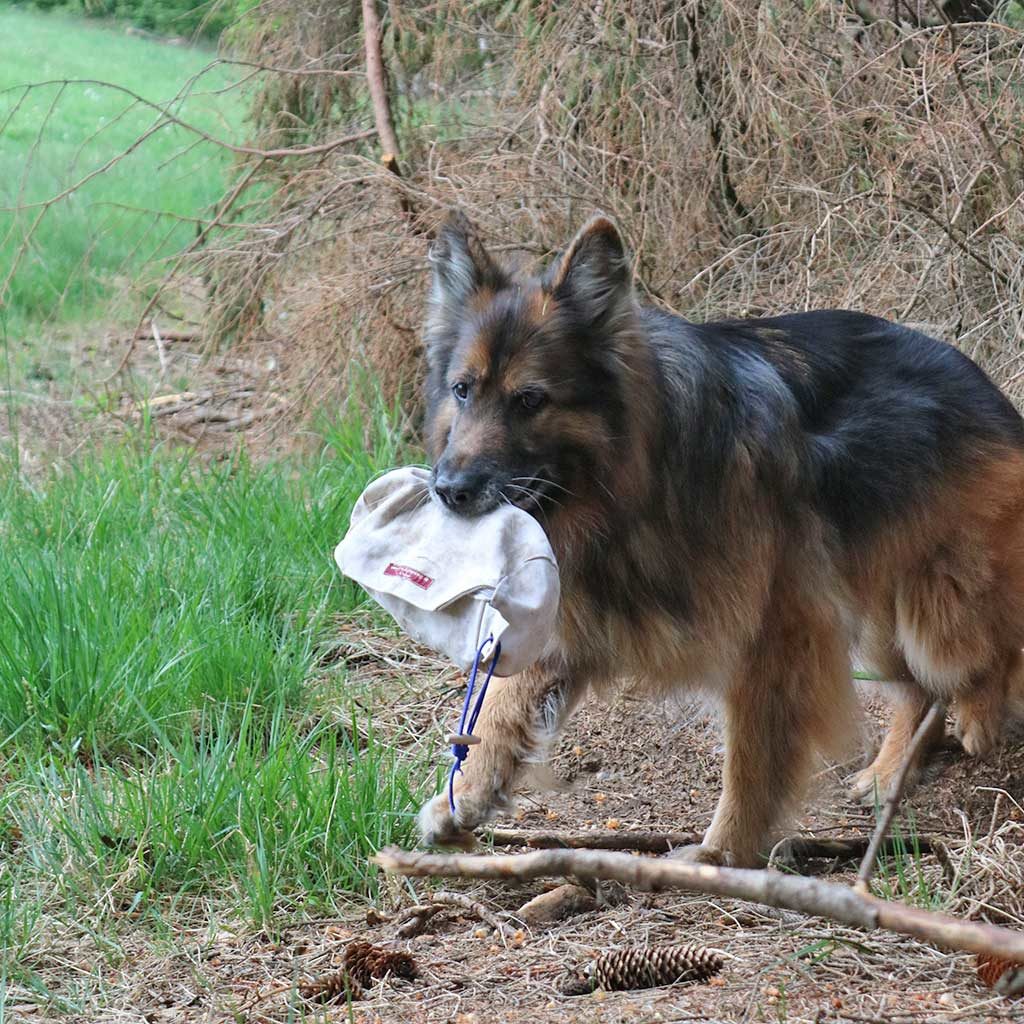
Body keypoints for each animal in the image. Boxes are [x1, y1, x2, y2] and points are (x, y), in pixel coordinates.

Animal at [415, 209, 1024, 864]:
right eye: (462, 390)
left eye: (530, 400)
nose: (447, 490)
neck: (638, 480)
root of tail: (983, 385)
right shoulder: (580, 615)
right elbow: (498, 710)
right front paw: (462, 798)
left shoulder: (774, 634)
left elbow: (752, 761)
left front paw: (721, 857)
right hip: (880, 614)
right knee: (919, 689)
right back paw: (892, 770)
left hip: (938, 607)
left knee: (986, 651)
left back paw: (981, 714)